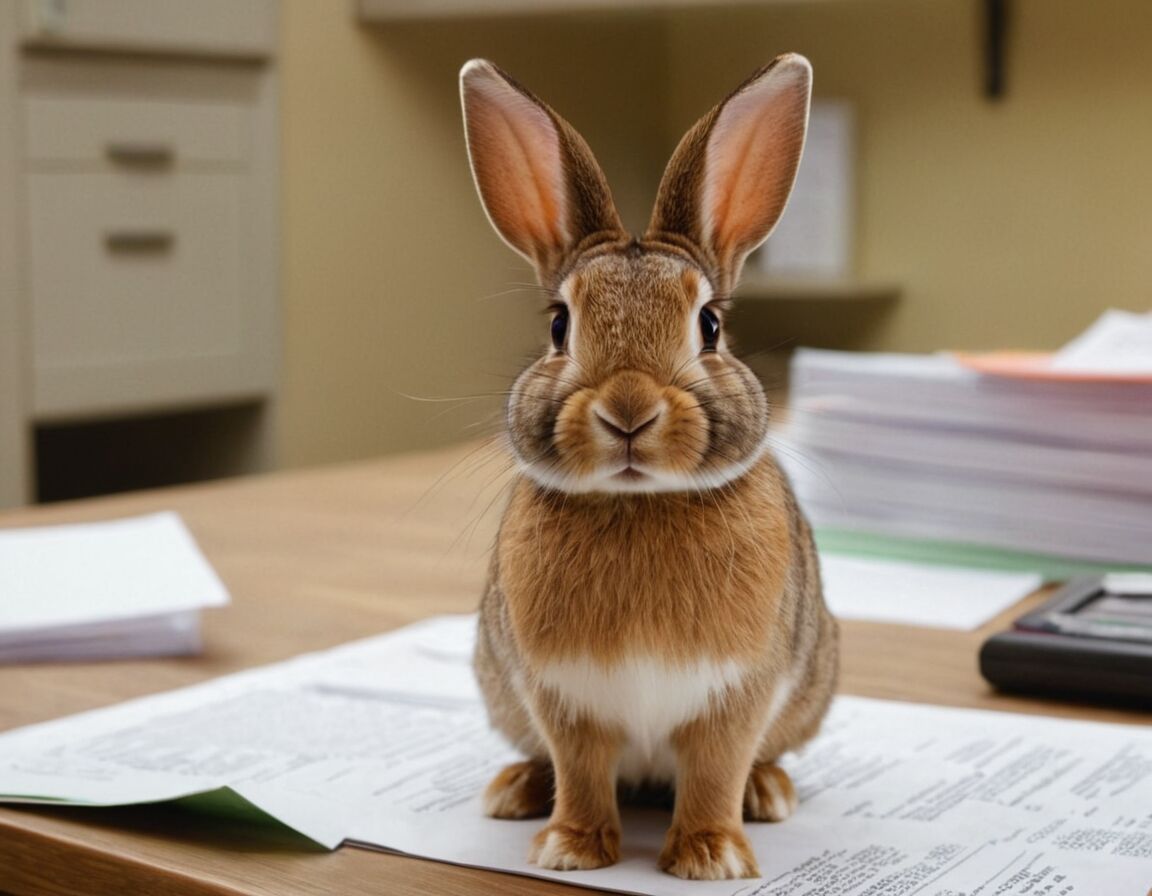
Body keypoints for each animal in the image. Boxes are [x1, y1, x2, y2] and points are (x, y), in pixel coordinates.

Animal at [460, 54, 838, 881]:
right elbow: (579, 769)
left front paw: (711, 857)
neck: (639, 502)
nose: (628, 410)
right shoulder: (561, 699)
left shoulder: (736, 697)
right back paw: (513, 790)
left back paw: (768, 793)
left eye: (711, 326)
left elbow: (715, 772)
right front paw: (569, 849)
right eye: (558, 325)